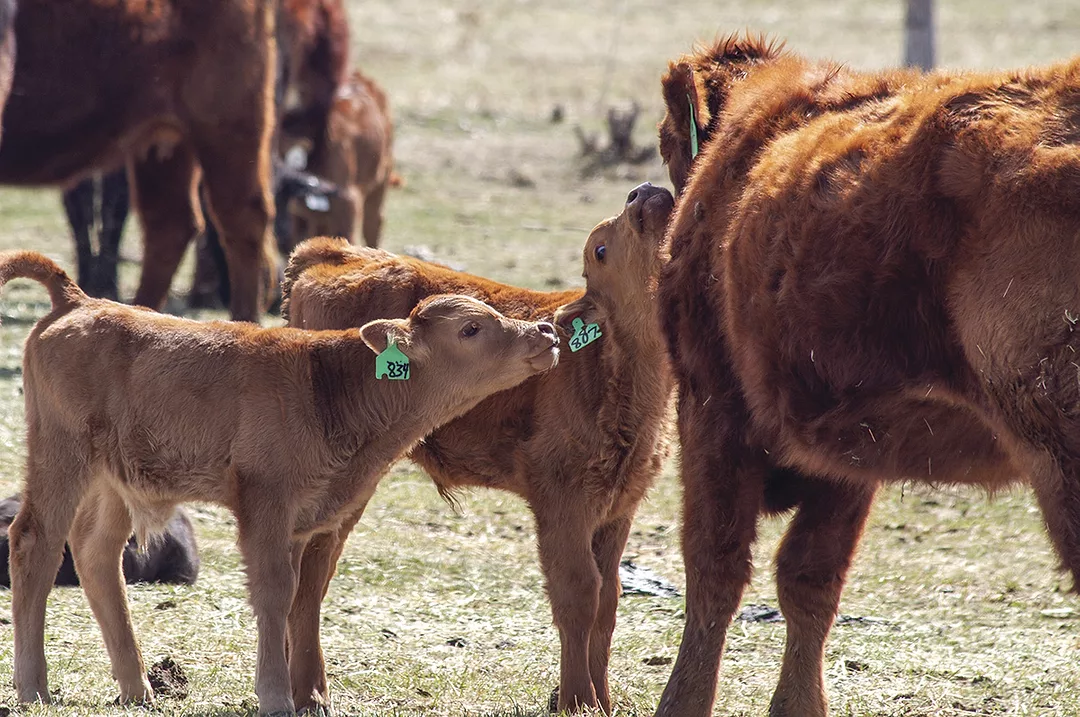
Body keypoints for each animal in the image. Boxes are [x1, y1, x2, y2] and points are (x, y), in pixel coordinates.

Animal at [0, 250, 558, 714]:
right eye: (471, 329)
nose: (547, 335)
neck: (326, 387)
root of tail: (77, 301)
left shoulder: (305, 518)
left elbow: (295, 597)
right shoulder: (265, 502)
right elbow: (273, 592)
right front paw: (275, 695)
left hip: (113, 481)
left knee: (96, 555)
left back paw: (137, 690)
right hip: (61, 455)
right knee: (35, 544)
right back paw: (34, 688)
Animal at [279, 182, 674, 713]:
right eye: (600, 249)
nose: (644, 193)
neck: (611, 361)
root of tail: (333, 253)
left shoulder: (617, 508)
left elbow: (607, 602)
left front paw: (601, 700)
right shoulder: (562, 503)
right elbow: (578, 596)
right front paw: (577, 700)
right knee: (311, 576)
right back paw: (312, 693)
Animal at [653, 33, 1080, 717]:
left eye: (667, 140)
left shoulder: (710, 409)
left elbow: (715, 567)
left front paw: (683, 701)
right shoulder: (848, 449)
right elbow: (808, 579)